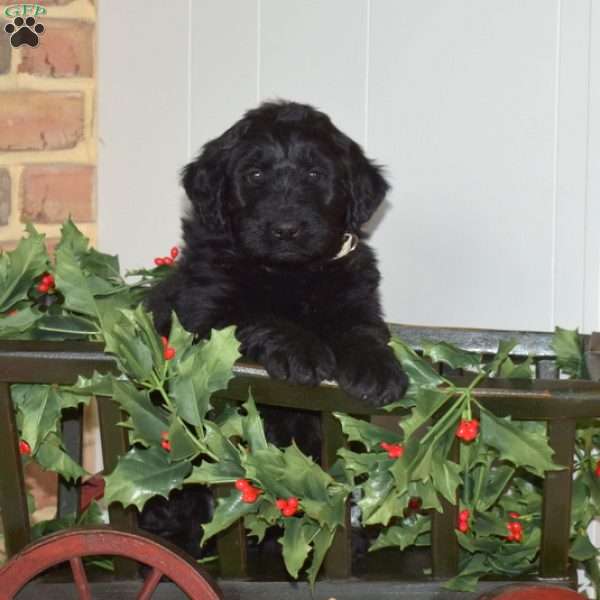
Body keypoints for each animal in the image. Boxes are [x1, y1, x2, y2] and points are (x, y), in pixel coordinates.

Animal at [145, 101, 408, 406]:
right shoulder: (203, 308)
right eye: (255, 175)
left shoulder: (357, 296)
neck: (290, 271)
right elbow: (258, 316)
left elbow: (362, 328)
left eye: (314, 174)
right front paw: (302, 350)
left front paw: (375, 365)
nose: (285, 230)